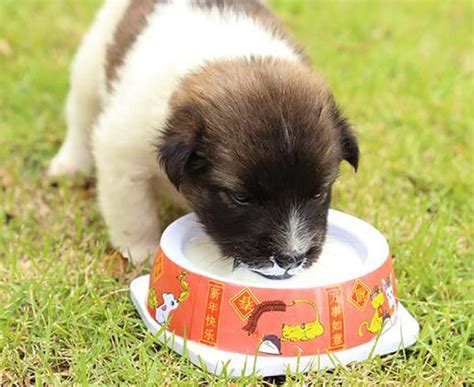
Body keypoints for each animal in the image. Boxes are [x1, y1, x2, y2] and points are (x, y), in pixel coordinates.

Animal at [49, 0, 360, 278]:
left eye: (319, 193)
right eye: (240, 197)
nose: (291, 259)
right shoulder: (122, 155)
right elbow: (134, 214)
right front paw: (142, 253)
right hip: (89, 67)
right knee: (80, 117)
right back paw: (70, 165)